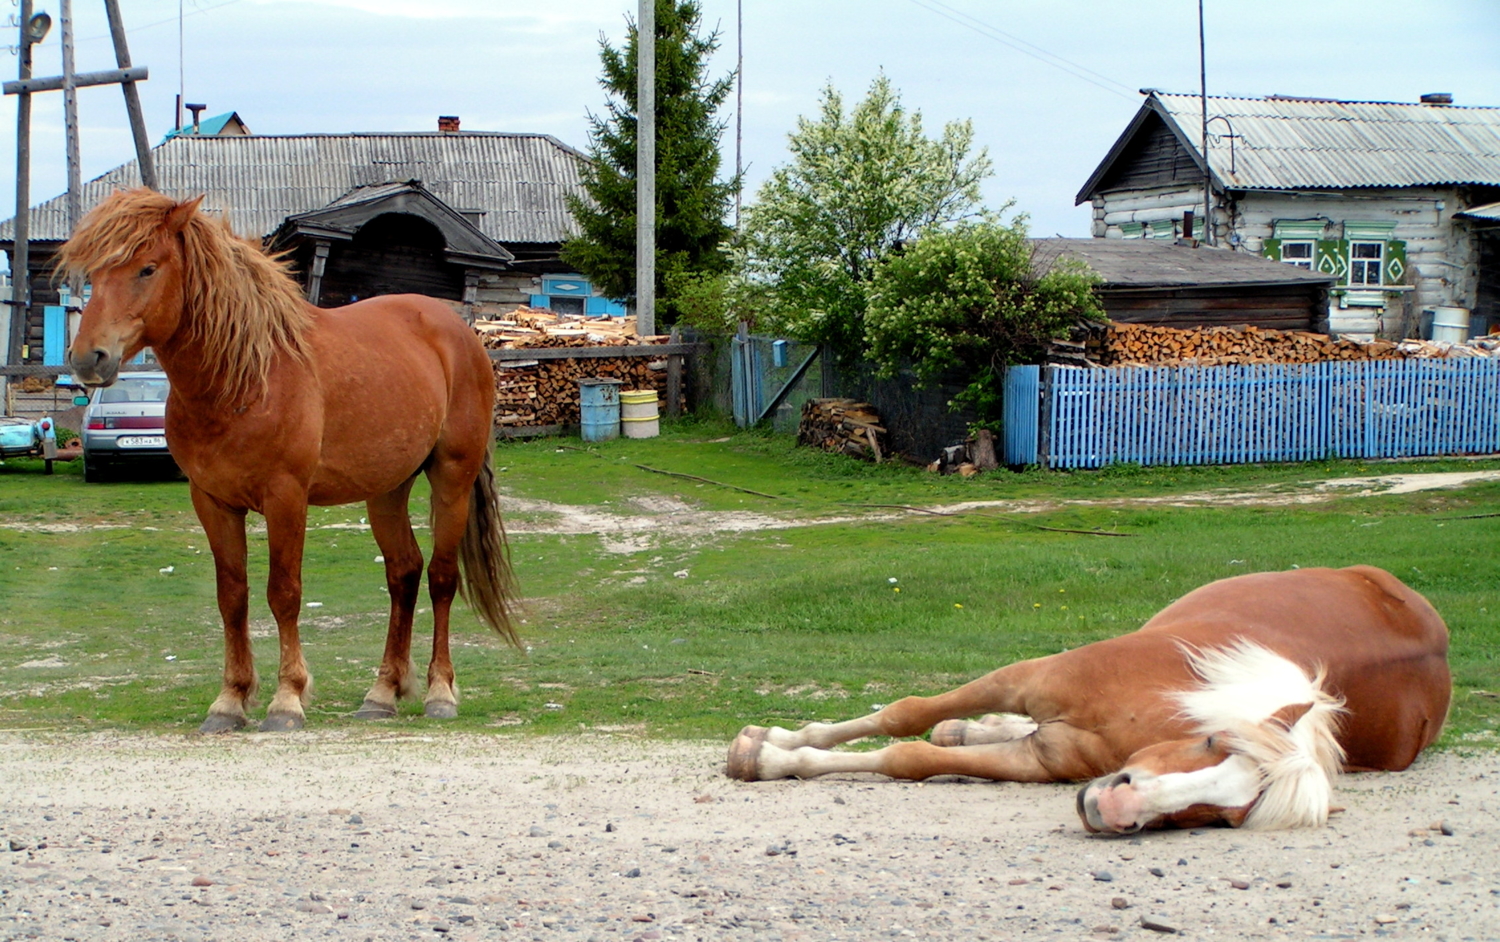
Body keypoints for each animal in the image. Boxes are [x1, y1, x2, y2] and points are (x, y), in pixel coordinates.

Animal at [58, 191, 519, 732]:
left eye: (147, 268)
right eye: (93, 273)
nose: (88, 358)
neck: (245, 378)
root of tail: (460, 333)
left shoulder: (286, 498)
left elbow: (284, 594)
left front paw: (286, 700)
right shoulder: (212, 501)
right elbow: (232, 597)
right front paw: (230, 700)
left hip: (452, 476)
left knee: (442, 579)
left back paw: (440, 692)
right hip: (387, 488)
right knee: (403, 573)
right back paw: (382, 693)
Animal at [726, 567, 1440, 834]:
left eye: (1225, 817)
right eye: (1212, 741)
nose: (1117, 805)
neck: (1151, 703)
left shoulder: (1043, 759)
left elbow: (910, 757)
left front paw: (777, 758)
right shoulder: (1024, 678)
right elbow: (906, 713)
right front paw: (770, 748)